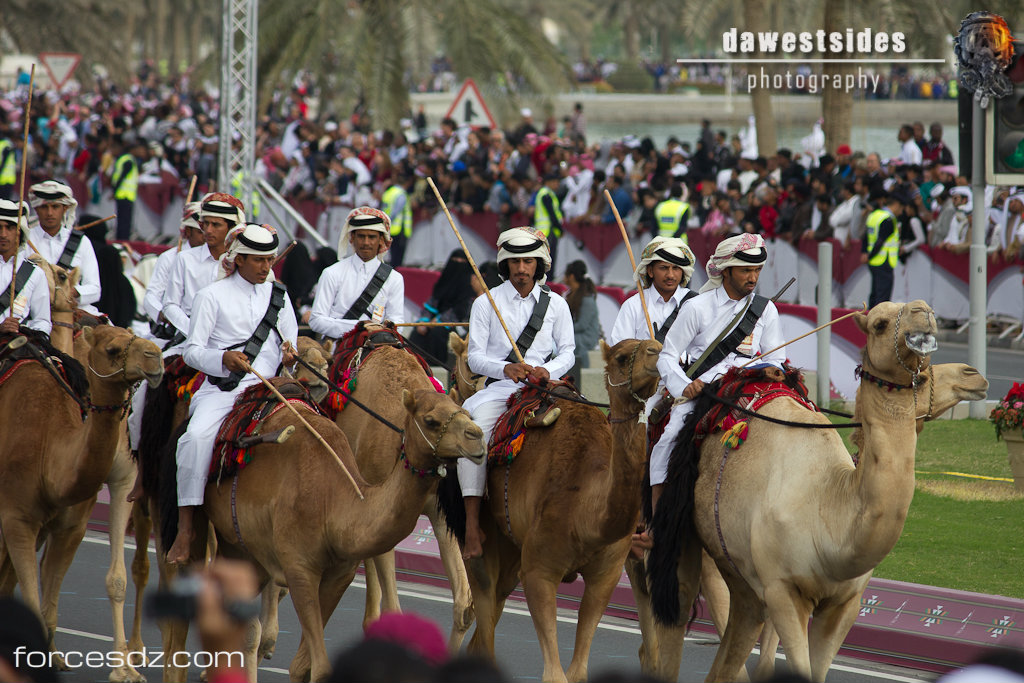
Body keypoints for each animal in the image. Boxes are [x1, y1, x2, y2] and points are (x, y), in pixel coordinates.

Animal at [651, 303, 987, 683]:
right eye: (880, 324)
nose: (973, 374)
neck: (829, 502)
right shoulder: (783, 590)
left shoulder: (844, 602)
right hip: (684, 537)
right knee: (676, 609)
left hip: (736, 565)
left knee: (740, 621)